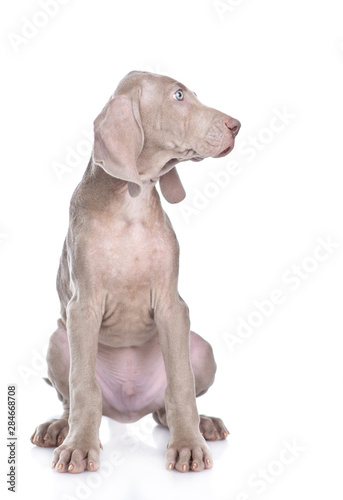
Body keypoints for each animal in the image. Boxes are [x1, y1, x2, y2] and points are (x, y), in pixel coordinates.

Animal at [30, 70, 241, 472]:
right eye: (178, 96)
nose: (236, 125)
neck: (131, 202)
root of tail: (128, 410)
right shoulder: (82, 308)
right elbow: (83, 386)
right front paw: (79, 446)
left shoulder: (173, 307)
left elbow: (181, 384)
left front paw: (188, 444)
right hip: (57, 342)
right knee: (70, 397)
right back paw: (59, 428)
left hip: (200, 348)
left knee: (166, 407)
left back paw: (202, 423)